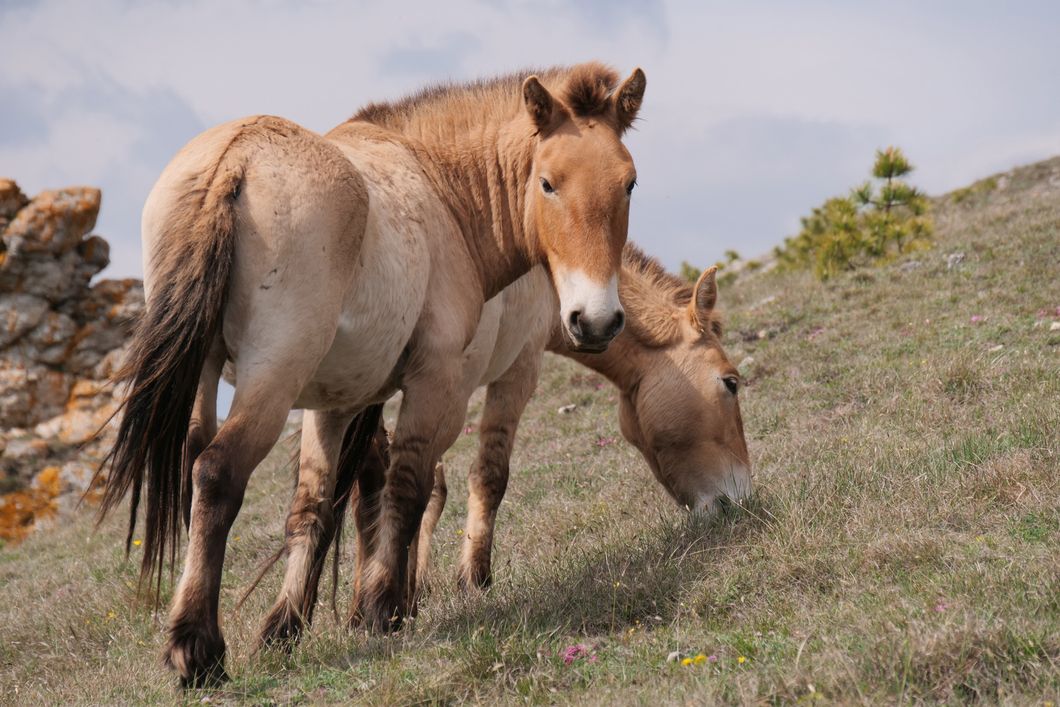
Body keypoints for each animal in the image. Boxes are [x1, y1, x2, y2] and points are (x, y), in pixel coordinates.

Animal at [96, 63, 646, 687]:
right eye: (548, 183)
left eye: (629, 183)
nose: (596, 320)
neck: (443, 194)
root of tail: (236, 159)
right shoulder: (438, 384)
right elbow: (406, 489)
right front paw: (383, 610)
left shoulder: (337, 402)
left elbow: (315, 505)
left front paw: (284, 628)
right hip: (272, 377)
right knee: (217, 473)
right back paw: (197, 649)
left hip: (206, 374)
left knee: (199, 468)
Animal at [269, 243, 751, 639]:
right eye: (730, 383)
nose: (741, 499)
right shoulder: (515, 366)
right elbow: (486, 475)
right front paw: (470, 580)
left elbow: (410, 484)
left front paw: (398, 596)